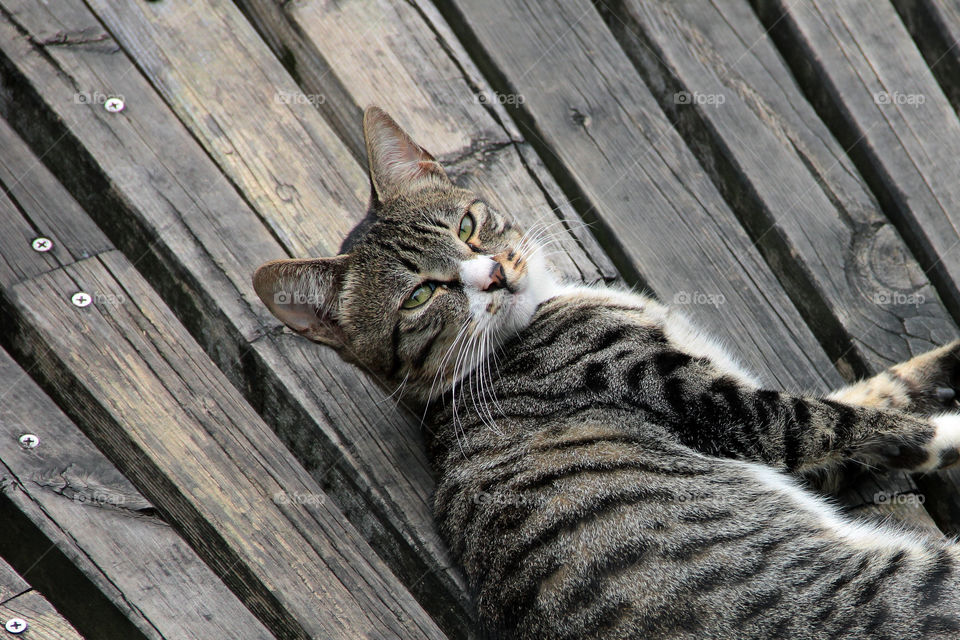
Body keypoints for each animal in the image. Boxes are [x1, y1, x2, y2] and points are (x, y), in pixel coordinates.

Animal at [253, 107, 960, 636]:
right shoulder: (726, 410)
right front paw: (945, 429)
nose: (495, 274)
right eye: (421, 295)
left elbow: (882, 390)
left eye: (469, 224)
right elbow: (857, 422)